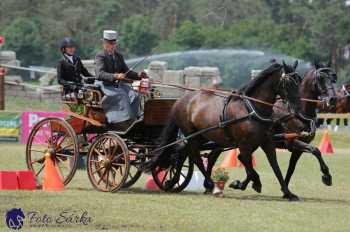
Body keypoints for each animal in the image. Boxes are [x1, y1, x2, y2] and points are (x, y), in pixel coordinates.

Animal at [149, 62, 302, 200]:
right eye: (289, 83)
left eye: (299, 81)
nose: (297, 109)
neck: (252, 109)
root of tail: (181, 100)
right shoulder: (244, 145)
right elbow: (249, 167)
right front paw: (248, 183)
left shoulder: (266, 142)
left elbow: (275, 166)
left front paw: (288, 193)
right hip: (191, 135)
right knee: (195, 157)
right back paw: (212, 186)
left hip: (202, 136)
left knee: (183, 153)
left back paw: (175, 181)